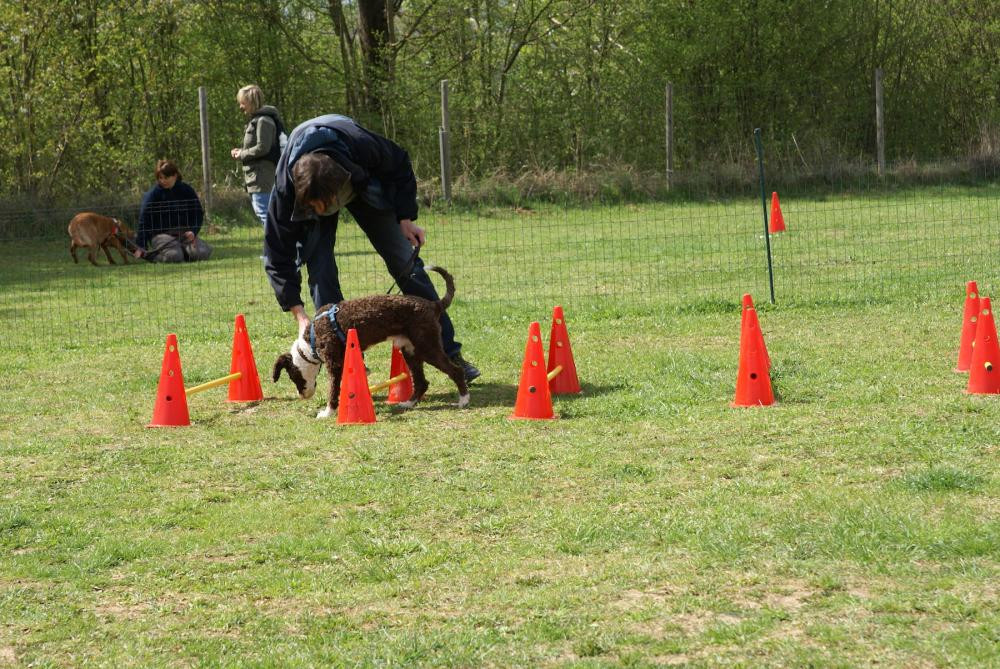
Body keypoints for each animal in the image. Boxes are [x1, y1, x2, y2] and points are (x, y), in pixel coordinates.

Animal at [272, 265, 470, 418]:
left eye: (292, 376)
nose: (302, 396)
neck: (311, 340)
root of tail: (433, 304)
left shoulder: (334, 364)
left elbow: (333, 390)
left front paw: (328, 412)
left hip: (427, 346)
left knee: (456, 371)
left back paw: (463, 400)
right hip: (410, 350)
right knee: (422, 382)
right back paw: (408, 403)